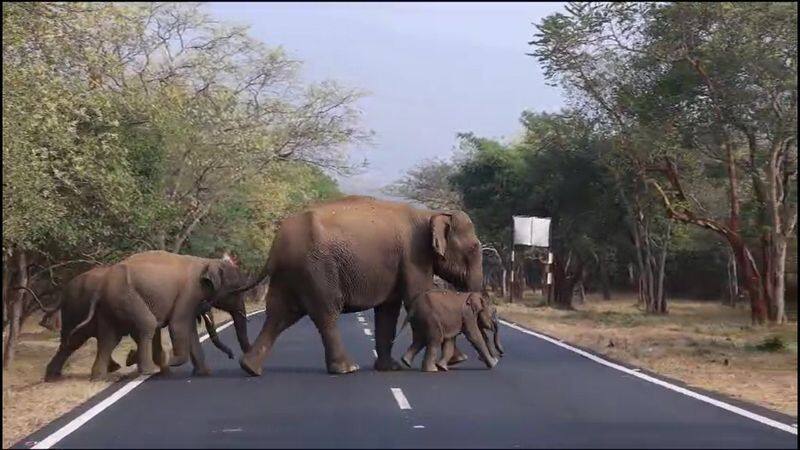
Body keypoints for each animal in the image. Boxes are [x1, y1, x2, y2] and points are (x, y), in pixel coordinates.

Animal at [231, 196, 482, 376]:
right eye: (474, 248)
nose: (459, 360)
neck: (429, 214)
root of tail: (276, 247)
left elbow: (389, 309)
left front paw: (390, 368)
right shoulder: (414, 255)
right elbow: (418, 297)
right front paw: (457, 360)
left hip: (291, 273)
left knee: (280, 314)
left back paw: (250, 368)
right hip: (316, 268)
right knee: (326, 312)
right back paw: (347, 369)